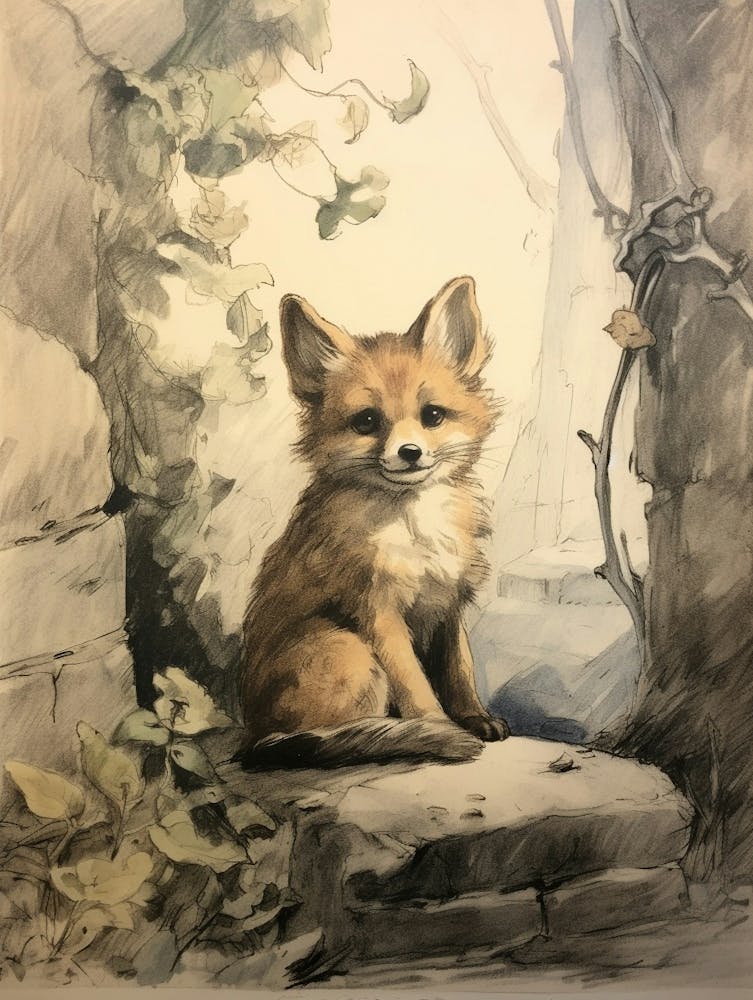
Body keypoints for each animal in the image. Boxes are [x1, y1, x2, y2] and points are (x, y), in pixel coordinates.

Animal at [238, 275, 509, 769]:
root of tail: (254, 736)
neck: (415, 529)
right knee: (328, 738)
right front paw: (440, 729)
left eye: (432, 415)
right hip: (348, 650)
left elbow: (459, 670)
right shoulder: (378, 612)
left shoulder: (448, 603)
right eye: (367, 421)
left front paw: (474, 717)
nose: (410, 452)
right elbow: (418, 688)